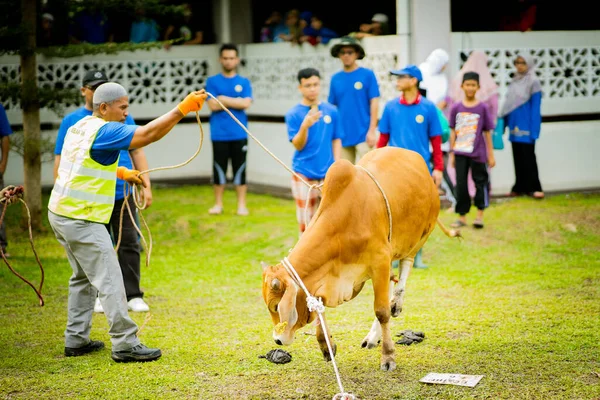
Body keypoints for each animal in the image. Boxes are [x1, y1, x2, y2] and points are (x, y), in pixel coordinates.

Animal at [260, 147, 462, 372]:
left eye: (275, 306)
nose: (277, 340)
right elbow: (320, 307)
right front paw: (327, 345)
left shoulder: (380, 261)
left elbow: (382, 312)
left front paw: (388, 357)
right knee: (391, 283)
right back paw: (373, 336)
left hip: (417, 238)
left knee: (404, 269)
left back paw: (397, 303)